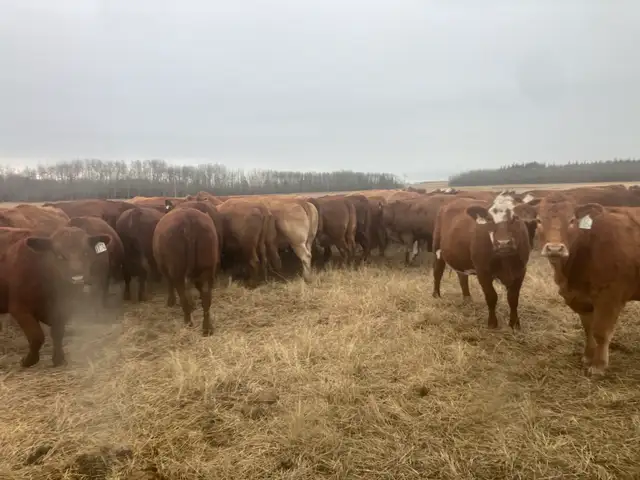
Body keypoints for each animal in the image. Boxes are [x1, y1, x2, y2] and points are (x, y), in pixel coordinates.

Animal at [0, 226, 111, 367]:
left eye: (86, 253)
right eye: (59, 256)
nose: (77, 277)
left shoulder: (64, 308)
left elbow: (58, 333)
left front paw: (58, 358)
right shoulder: (19, 309)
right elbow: (36, 336)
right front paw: (29, 360)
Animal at [152, 207, 219, 335]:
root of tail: (189, 221)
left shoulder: (163, 267)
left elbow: (170, 284)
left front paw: (171, 301)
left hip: (177, 270)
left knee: (183, 295)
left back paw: (188, 322)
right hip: (207, 269)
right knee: (206, 298)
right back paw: (207, 328)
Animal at [432, 192, 532, 329]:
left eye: (515, 218)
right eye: (489, 219)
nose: (503, 243)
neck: (505, 261)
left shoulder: (521, 271)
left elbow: (513, 298)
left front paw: (514, 324)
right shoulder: (483, 271)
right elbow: (491, 297)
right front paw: (492, 323)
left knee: (462, 277)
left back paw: (467, 299)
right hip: (438, 250)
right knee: (437, 273)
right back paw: (436, 295)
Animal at [533, 193, 640, 375]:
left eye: (572, 220)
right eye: (539, 220)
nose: (554, 249)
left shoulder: (609, 296)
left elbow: (601, 332)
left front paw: (598, 366)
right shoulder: (581, 297)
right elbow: (588, 328)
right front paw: (588, 357)